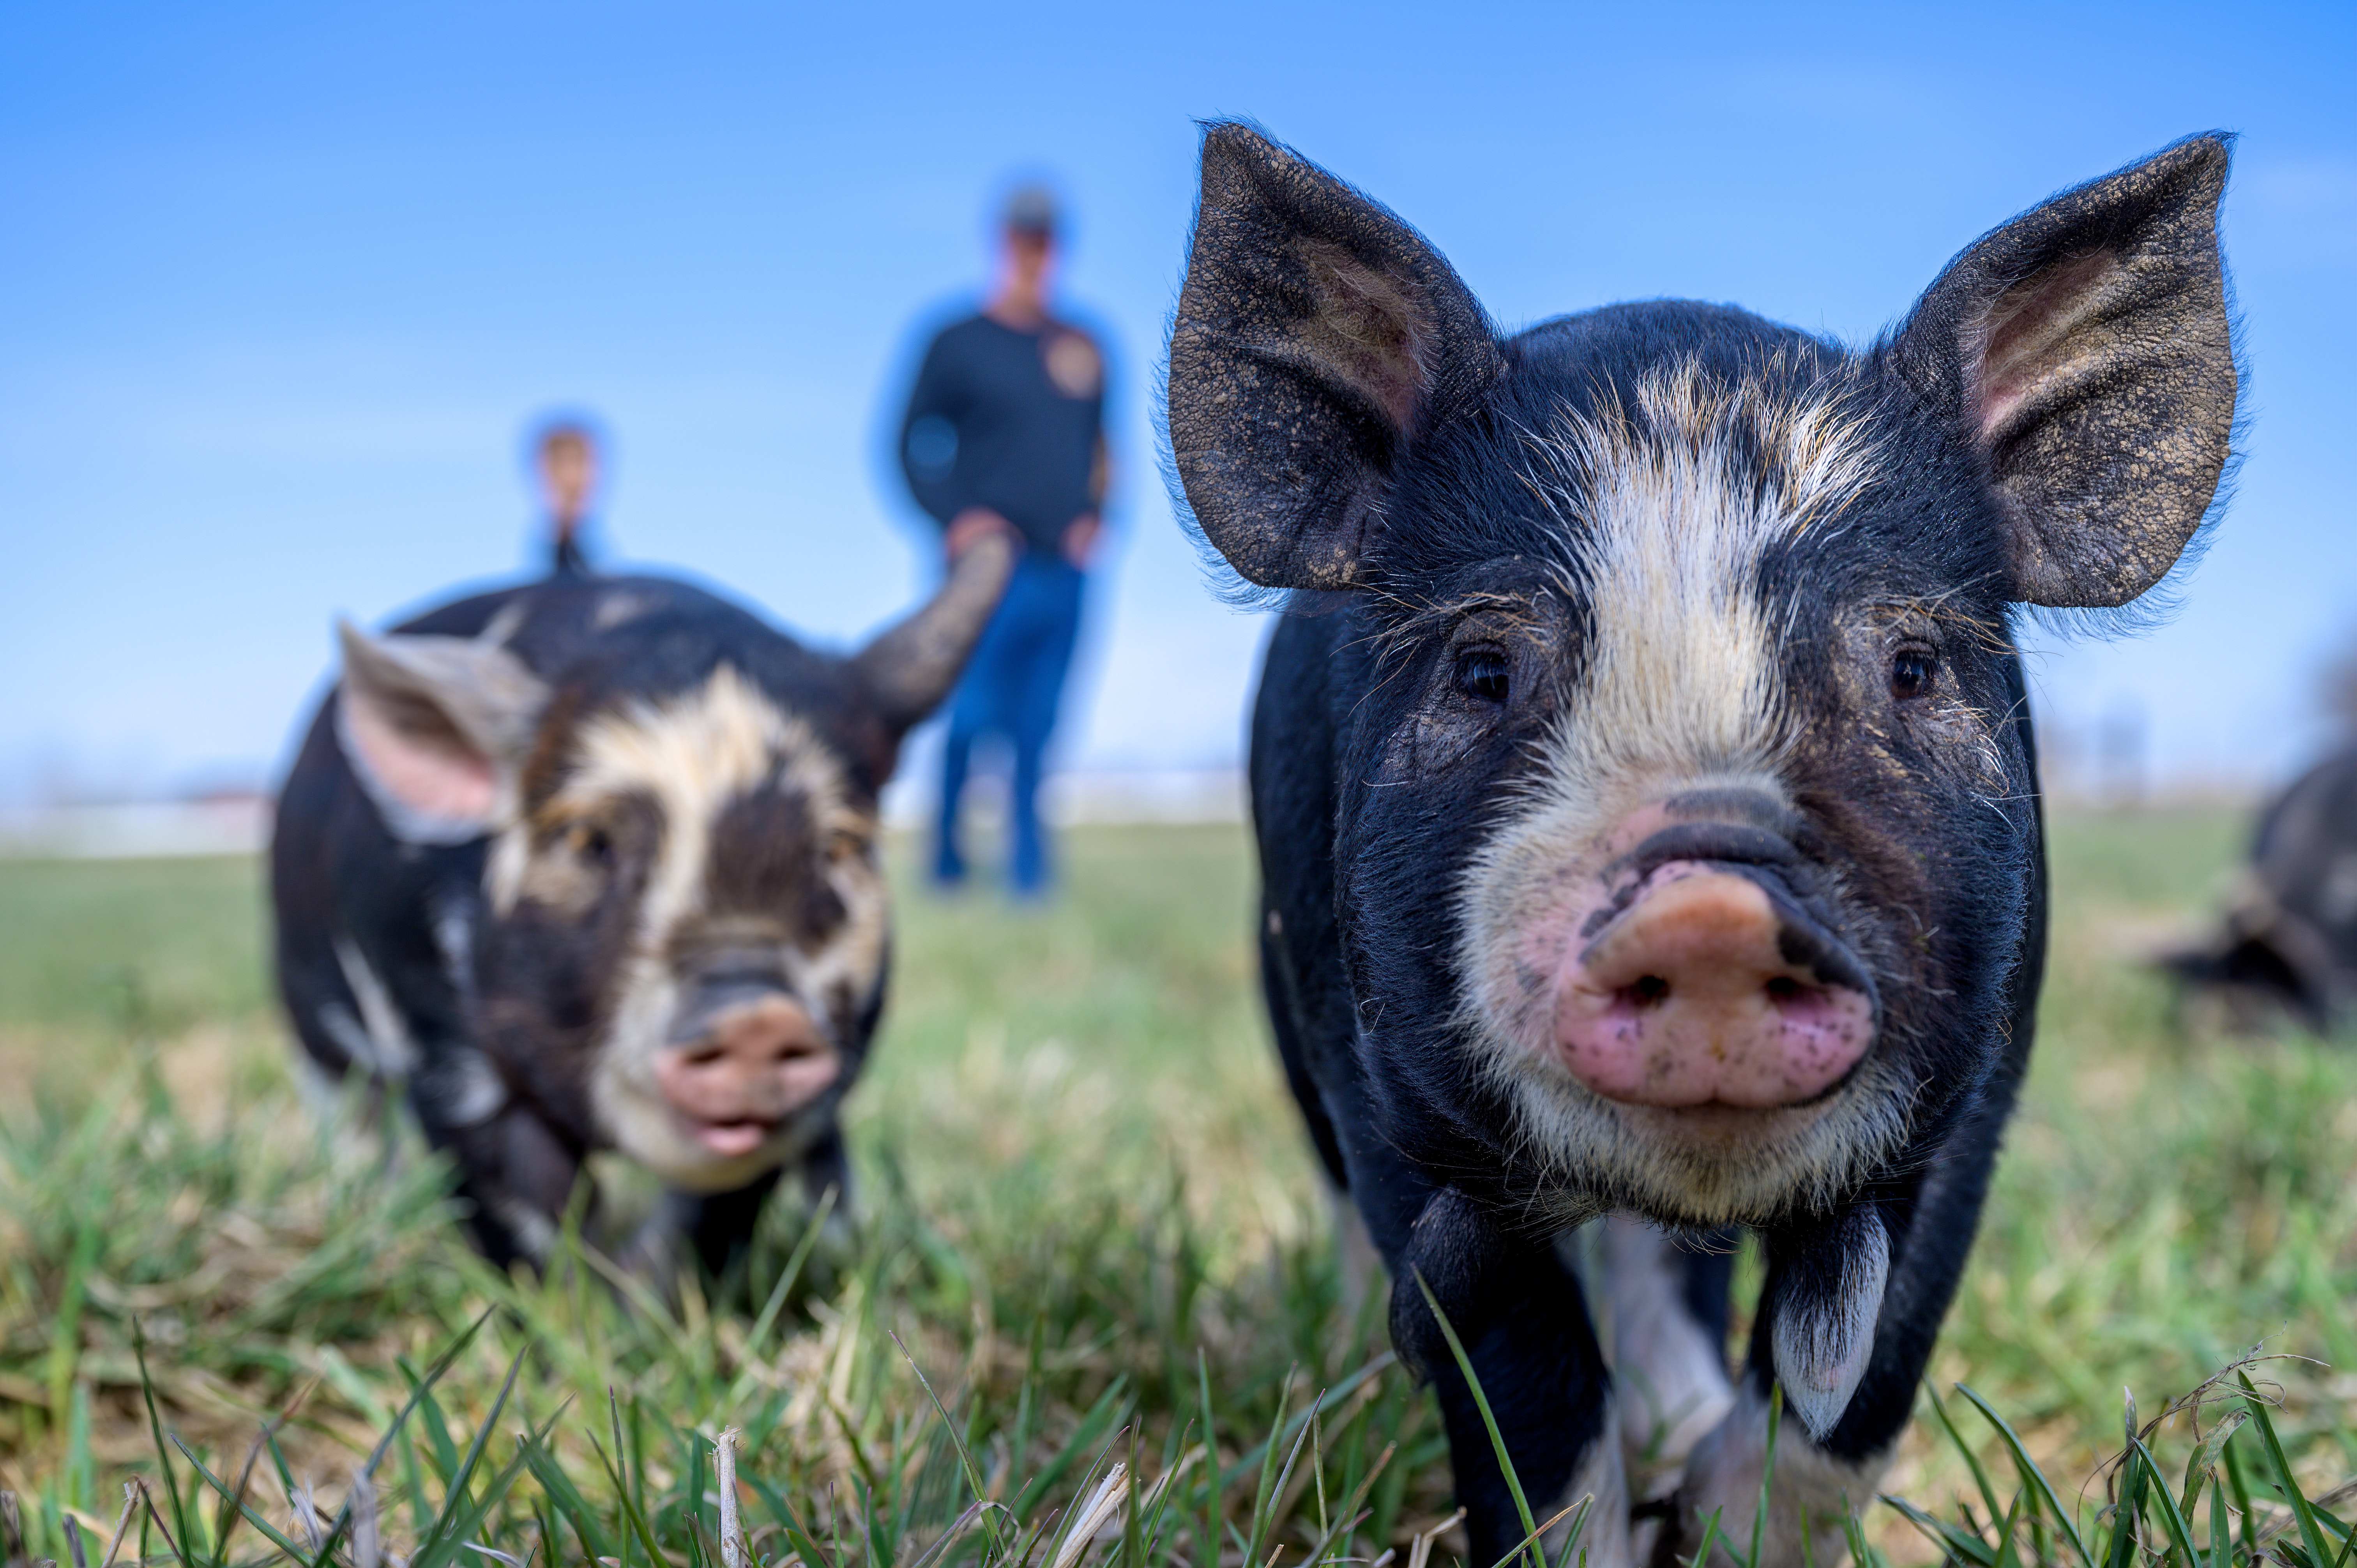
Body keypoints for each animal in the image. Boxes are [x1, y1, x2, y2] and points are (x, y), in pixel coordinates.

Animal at [273, 537, 1013, 1273]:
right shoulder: (441, 1047)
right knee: (351, 1110)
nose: (755, 1015)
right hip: (310, 1010)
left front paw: (652, 1296)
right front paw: (572, 1302)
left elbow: (710, 1219)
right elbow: (522, 1203)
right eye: (589, 840)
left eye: (839, 847)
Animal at [1169, 125, 2234, 1565]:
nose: (1712, 905)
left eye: (1910, 665)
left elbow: (1857, 1393)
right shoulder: (1379, 1070)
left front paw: (1711, 1516)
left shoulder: (1982, 1083)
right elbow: (1525, 1406)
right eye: (1483, 667)